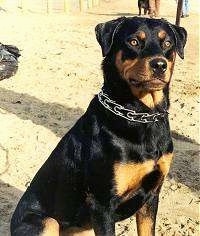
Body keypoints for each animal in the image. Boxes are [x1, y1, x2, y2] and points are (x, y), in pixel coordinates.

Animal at [10, 17, 186, 236]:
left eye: (168, 43)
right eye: (134, 41)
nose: (159, 64)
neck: (142, 115)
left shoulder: (151, 196)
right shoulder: (103, 205)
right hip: (47, 222)